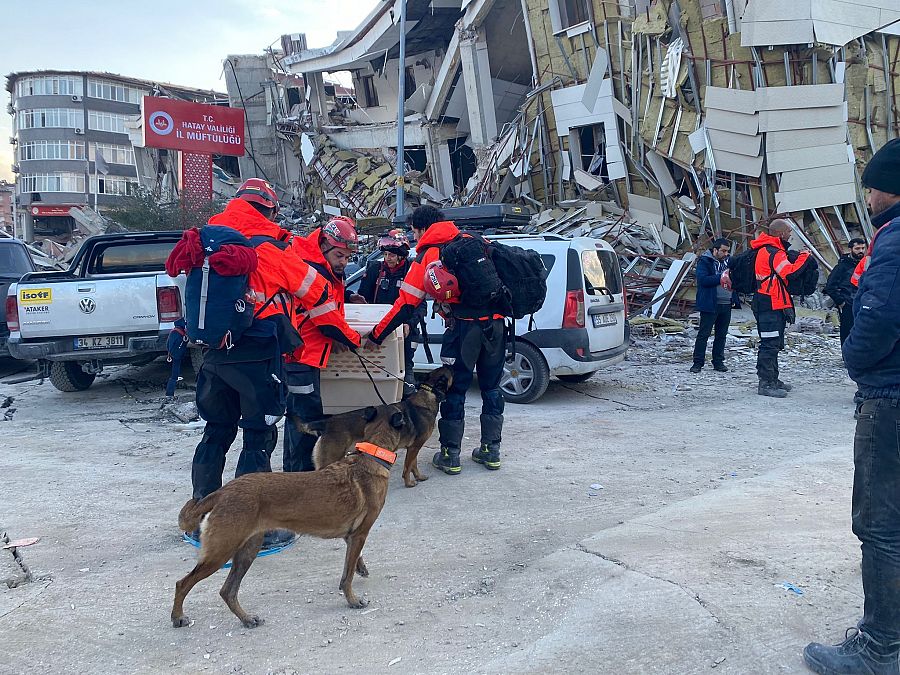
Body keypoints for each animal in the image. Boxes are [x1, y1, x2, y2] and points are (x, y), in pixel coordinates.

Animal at [170, 414, 408, 632]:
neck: (372, 454)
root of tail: (222, 492)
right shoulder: (360, 534)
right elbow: (346, 577)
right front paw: (353, 600)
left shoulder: (351, 536)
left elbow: (353, 562)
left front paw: (360, 569)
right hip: (221, 553)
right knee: (183, 583)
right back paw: (178, 617)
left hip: (247, 550)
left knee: (227, 591)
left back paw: (246, 619)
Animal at [298, 368, 454, 488]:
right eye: (450, 372)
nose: (454, 365)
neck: (429, 395)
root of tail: (327, 422)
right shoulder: (415, 447)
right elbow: (407, 467)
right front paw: (409, 483)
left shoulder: (413, 447)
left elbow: (413, 465)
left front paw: (419, 477)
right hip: (330, 458)